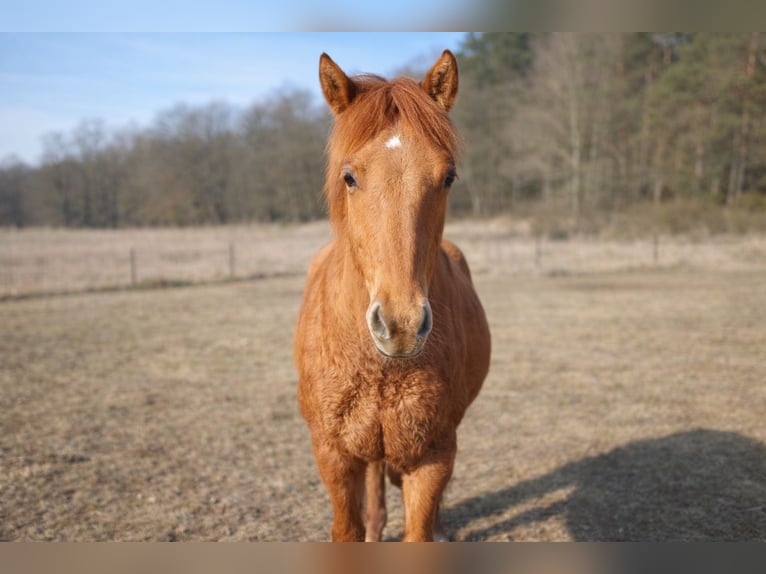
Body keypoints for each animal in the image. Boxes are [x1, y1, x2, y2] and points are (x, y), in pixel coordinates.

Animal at [294, 50, 491, 542]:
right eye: (349, 177)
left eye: (448, 177)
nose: (400, 326)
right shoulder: (333, 455)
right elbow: (348, 527)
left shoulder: (432, 455)